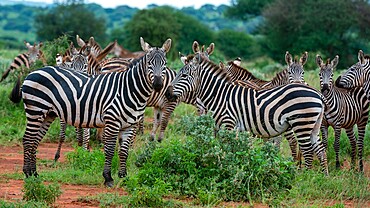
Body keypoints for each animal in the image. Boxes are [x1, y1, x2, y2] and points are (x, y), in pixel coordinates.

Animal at [10, 37, 172, 187]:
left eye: (165, 64)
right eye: (149, 63)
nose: (158, 85)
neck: (129, 89)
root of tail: (32, 73)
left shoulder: (130, 126)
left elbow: (124, 151)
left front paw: (123, 176)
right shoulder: (112, 121)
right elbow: (109, 149)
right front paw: (108, 178)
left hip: (47, 114)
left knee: (35, 140)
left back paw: (34, 173)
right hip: (36, 109)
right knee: (28, 139)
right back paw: (27, 173)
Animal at [166, 52, 328, 174]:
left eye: (184, 76)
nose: (167, 94)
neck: (219, 95)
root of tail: (318, 94)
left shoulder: (228, 124)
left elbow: (227, 149)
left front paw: (226, 171)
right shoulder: (221, 127)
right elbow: (220, 148)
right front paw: (222, 167)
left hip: (301, 123)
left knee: (308, 151)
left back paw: (303, 178)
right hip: (313, 125)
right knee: (320, 149)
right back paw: (322, 177)